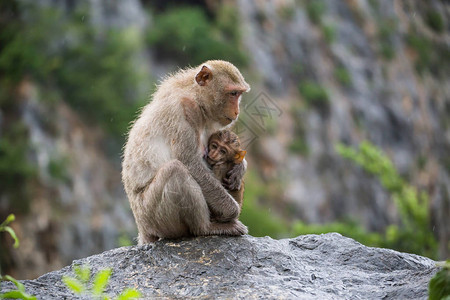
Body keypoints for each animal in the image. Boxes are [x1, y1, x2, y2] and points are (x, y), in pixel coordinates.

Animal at [121, 59, 251, 244]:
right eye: (233, 93)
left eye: (239, 94)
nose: (237, 111)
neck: (195, 95)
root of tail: (142, 229)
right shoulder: (182, 110)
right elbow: (190, 162)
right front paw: (231, 211)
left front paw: (240, 168)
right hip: (153, 216)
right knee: (175, 170)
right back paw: (206, 228)